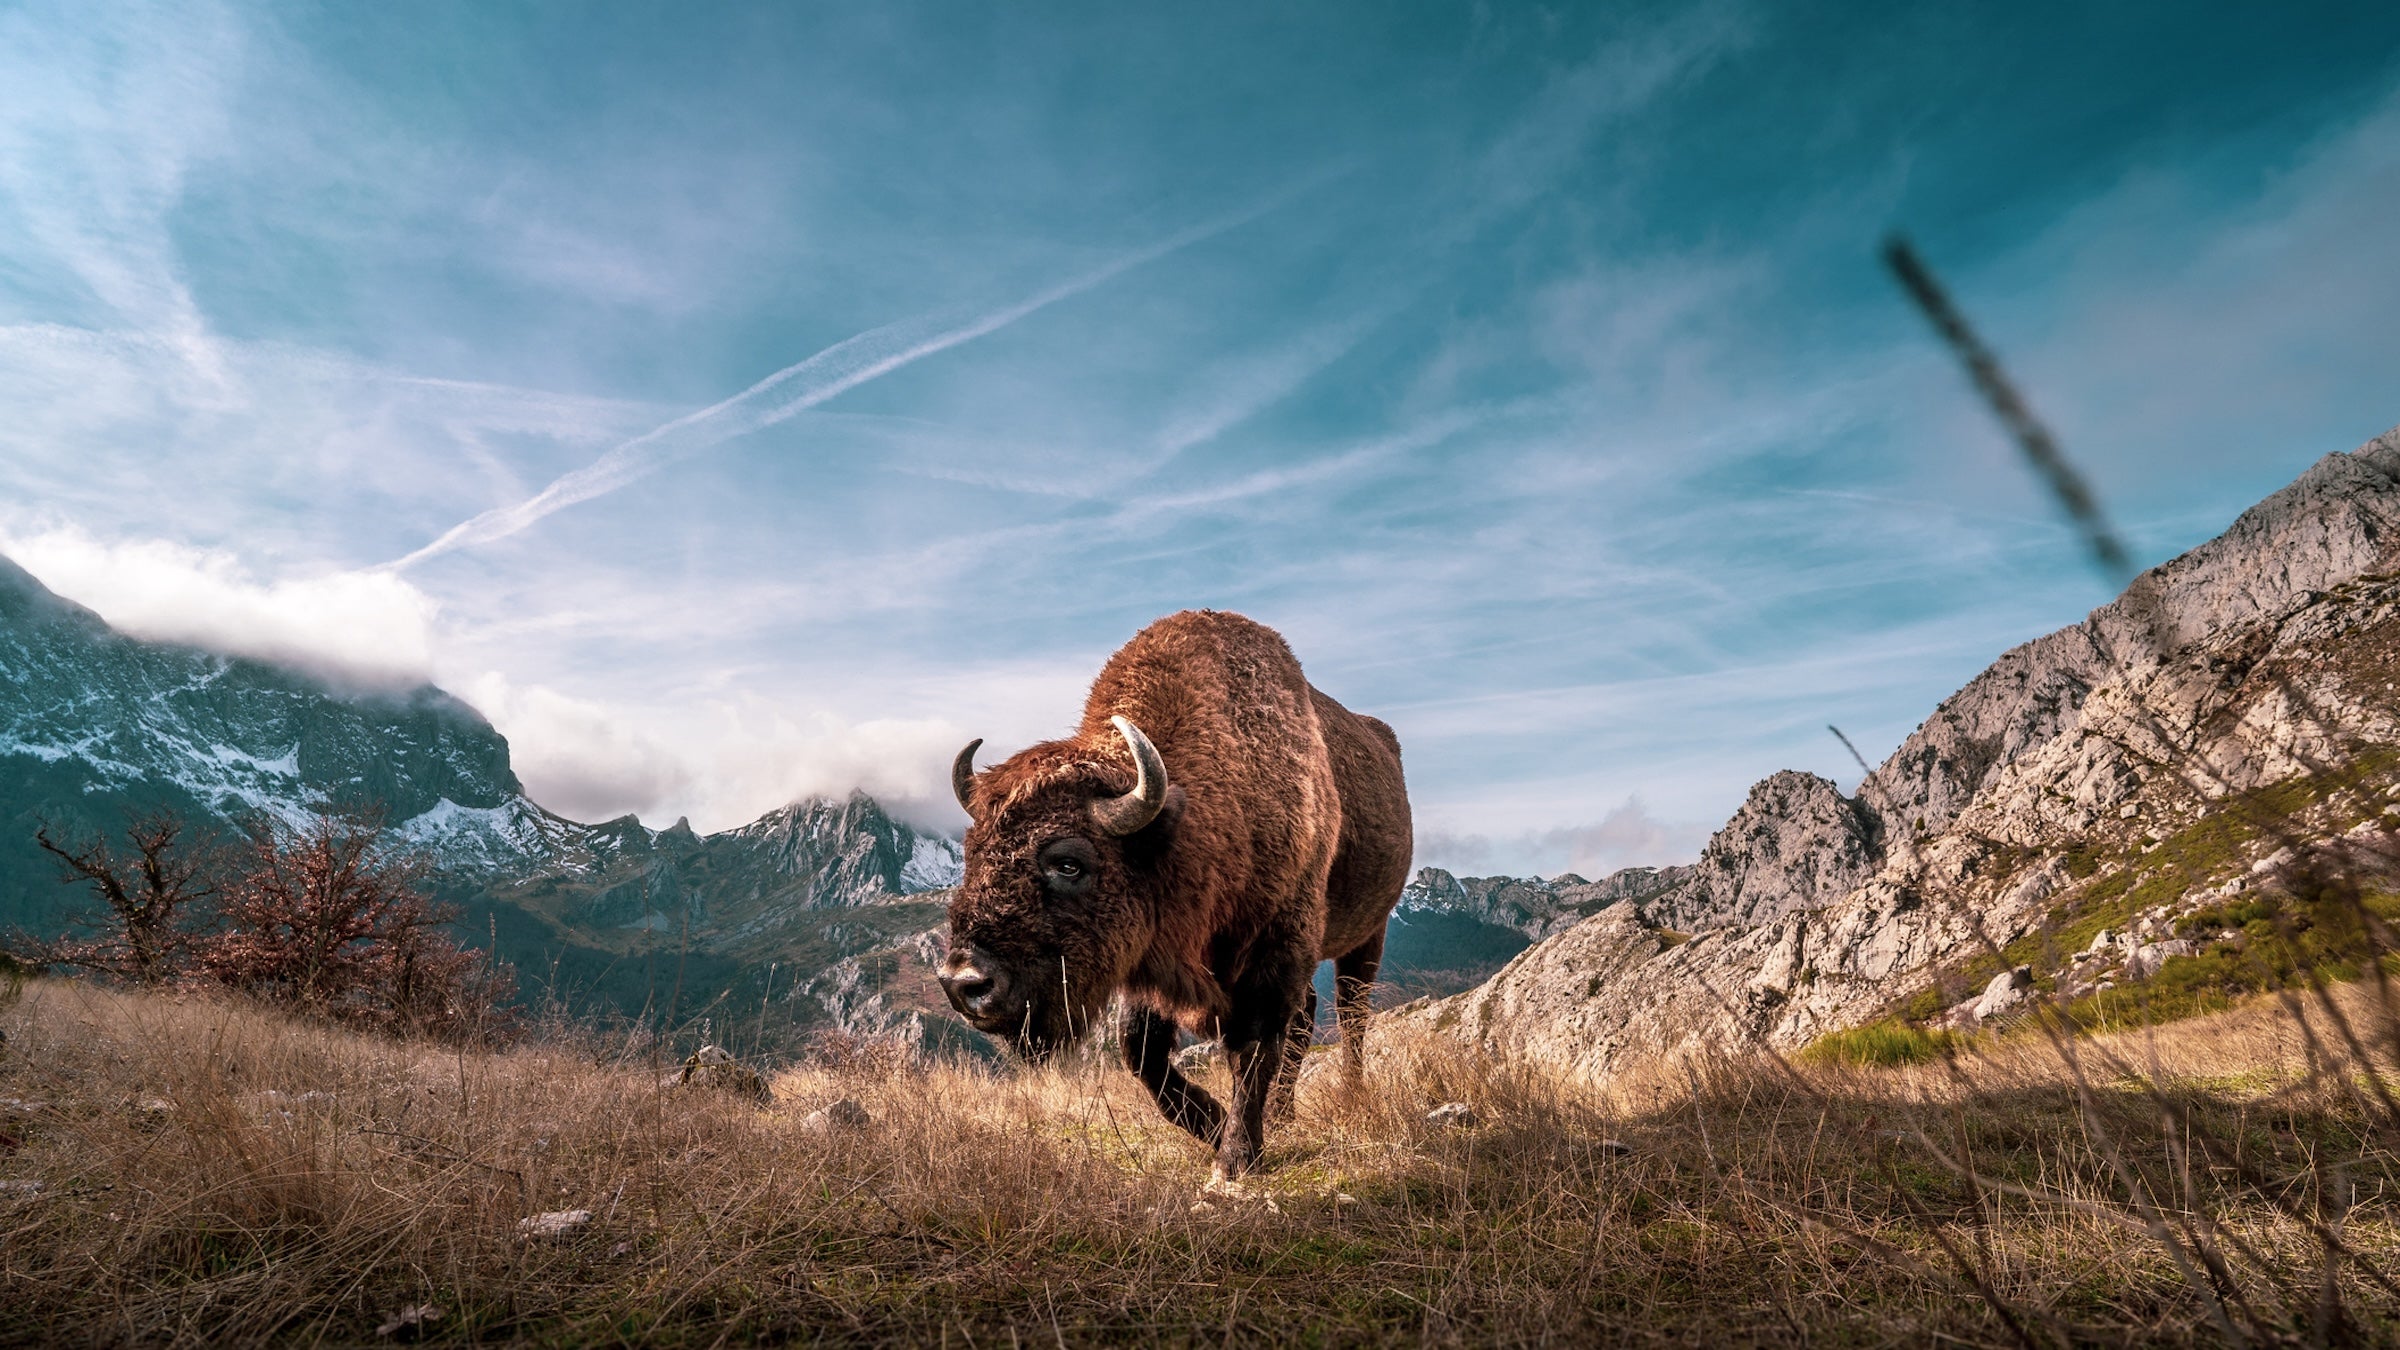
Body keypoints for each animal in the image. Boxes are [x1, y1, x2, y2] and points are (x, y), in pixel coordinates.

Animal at [939, 609, 1412, 1178]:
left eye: (1070, 863)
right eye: (972, 854)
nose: (964, 983)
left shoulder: (1275, 948)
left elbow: (1253, 1046)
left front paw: (1236, 1157)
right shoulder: (1153, 957)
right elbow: (1142, 1052)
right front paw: (1214, 1124)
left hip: (1368, 933)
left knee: (1351, 1013)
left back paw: (1347, 1093)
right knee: (1307, 1021)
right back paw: (1281, 1117)